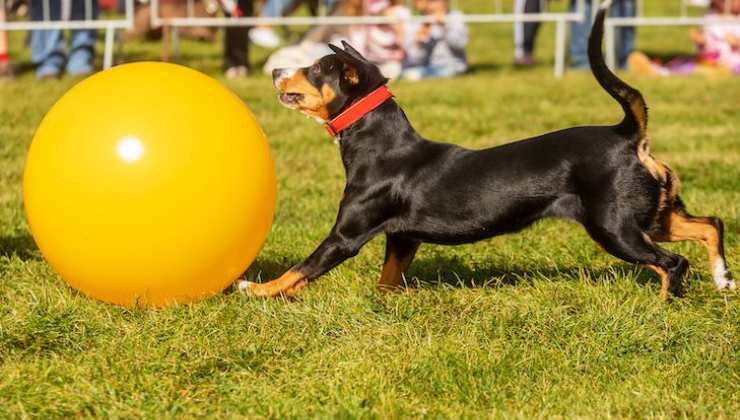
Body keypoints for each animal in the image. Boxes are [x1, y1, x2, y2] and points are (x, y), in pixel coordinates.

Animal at [241, 1, 736, 300]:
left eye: (313, 69)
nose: (275, 72)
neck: (383, 147)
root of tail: (627, 134)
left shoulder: (346, 235)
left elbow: (300, 269)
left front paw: (257, 289)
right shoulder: (402, 237)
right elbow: (389, 278)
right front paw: (385, 302)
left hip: (614, 226)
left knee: (672, 262)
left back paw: (664, 303)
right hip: (651, 215)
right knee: (709, 225)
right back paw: (723, 280)